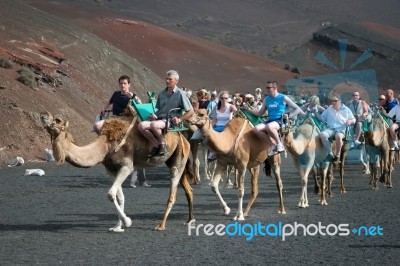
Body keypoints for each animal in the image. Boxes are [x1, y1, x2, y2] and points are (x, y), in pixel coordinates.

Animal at [41, 108, 195, 233]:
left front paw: (127, 222)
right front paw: (117, 226)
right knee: (188, 189)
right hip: (176, 158)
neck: (106, 145)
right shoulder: (111, 170)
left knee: (173, 191)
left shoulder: (126, 166)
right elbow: (119, 196)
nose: (43, 115)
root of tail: (183, 137)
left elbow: (110, 194)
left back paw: (161, 225)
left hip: (178, 157)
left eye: (57, 121)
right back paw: (190, 220)